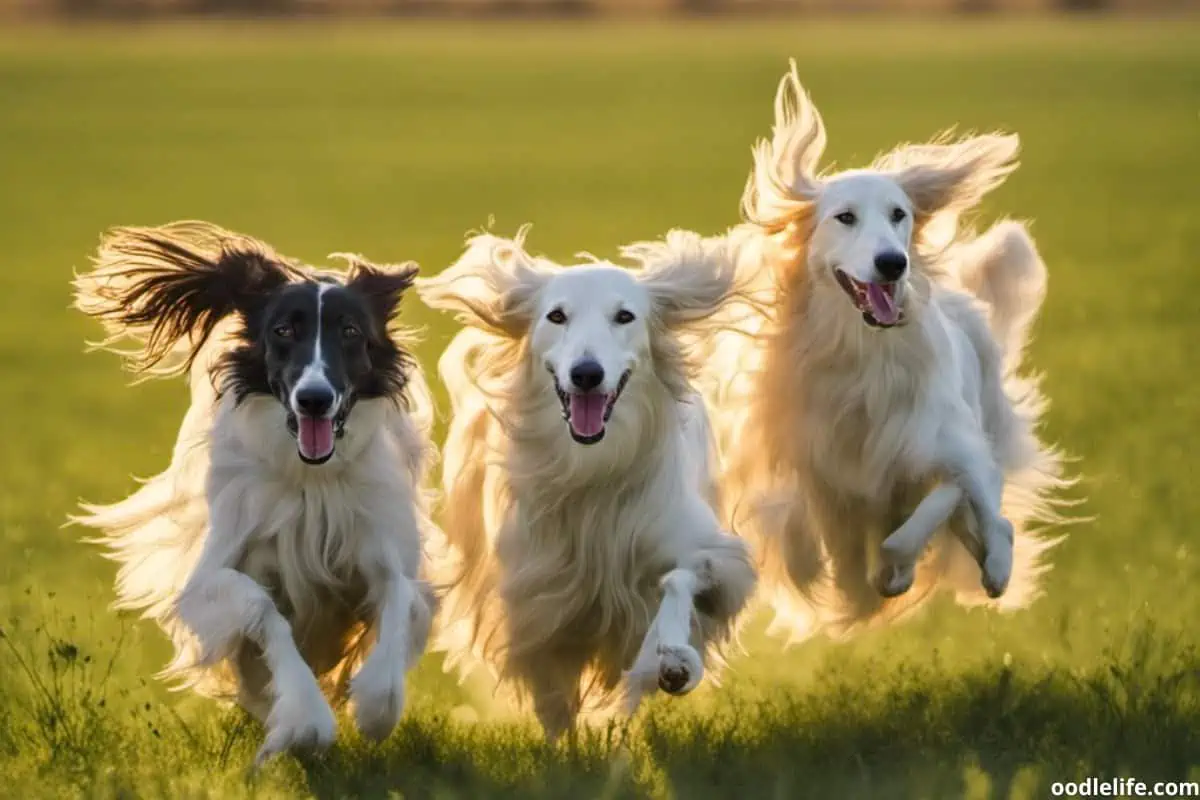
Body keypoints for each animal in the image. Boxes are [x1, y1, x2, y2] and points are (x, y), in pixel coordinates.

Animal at [70, 221, 439, 767]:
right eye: (283, 331)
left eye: (350, 331)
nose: (314, 399)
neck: (311, 482)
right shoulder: (209, 579)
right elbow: (259, 608)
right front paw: (304, 721)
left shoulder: (381, 542)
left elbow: (398, 596)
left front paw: (375, 704)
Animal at [417, 227, 753, 743]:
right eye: (557, 315)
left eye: (625, 316)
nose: (587, 374)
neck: (594, 470)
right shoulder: (538, 601)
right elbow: (554, 700)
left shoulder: (711, 553)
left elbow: (682, 578)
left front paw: (674, 660)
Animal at [691, 61, 1075, 638]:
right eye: (845, 217)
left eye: (899, 214)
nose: (893, 263)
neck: (864, 359)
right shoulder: (828, 484)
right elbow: (858, 560)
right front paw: (878, 583)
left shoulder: (941, 445)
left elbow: (926, 514)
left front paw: (901, 572)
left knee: (991, 516)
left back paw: (994, 567)